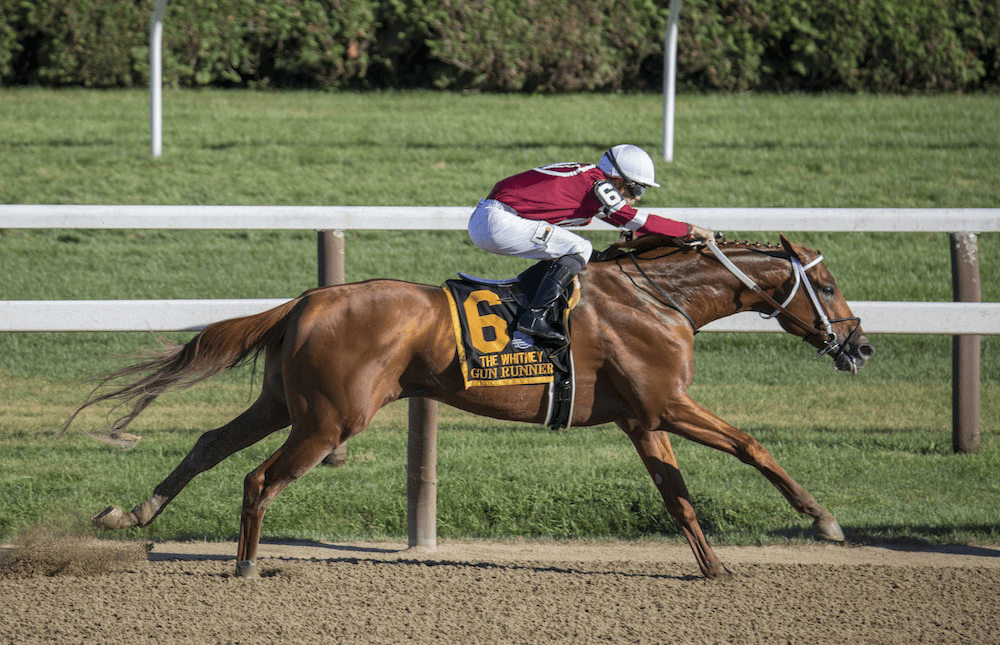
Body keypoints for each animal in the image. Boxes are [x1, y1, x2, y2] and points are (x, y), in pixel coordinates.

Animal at [65, 234, 874, 579]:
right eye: (829, 286)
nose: (860, 345)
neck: (660, 298)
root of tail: (308, 300)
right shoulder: (664, 406)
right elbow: (750, 446)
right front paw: (825, 520)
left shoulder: (643, 418)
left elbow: (677, 496)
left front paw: (714, 569)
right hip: (329, 419)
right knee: (259, 479)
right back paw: (244, 569)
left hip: (284, 404)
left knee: (209, 442)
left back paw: (130, 514)